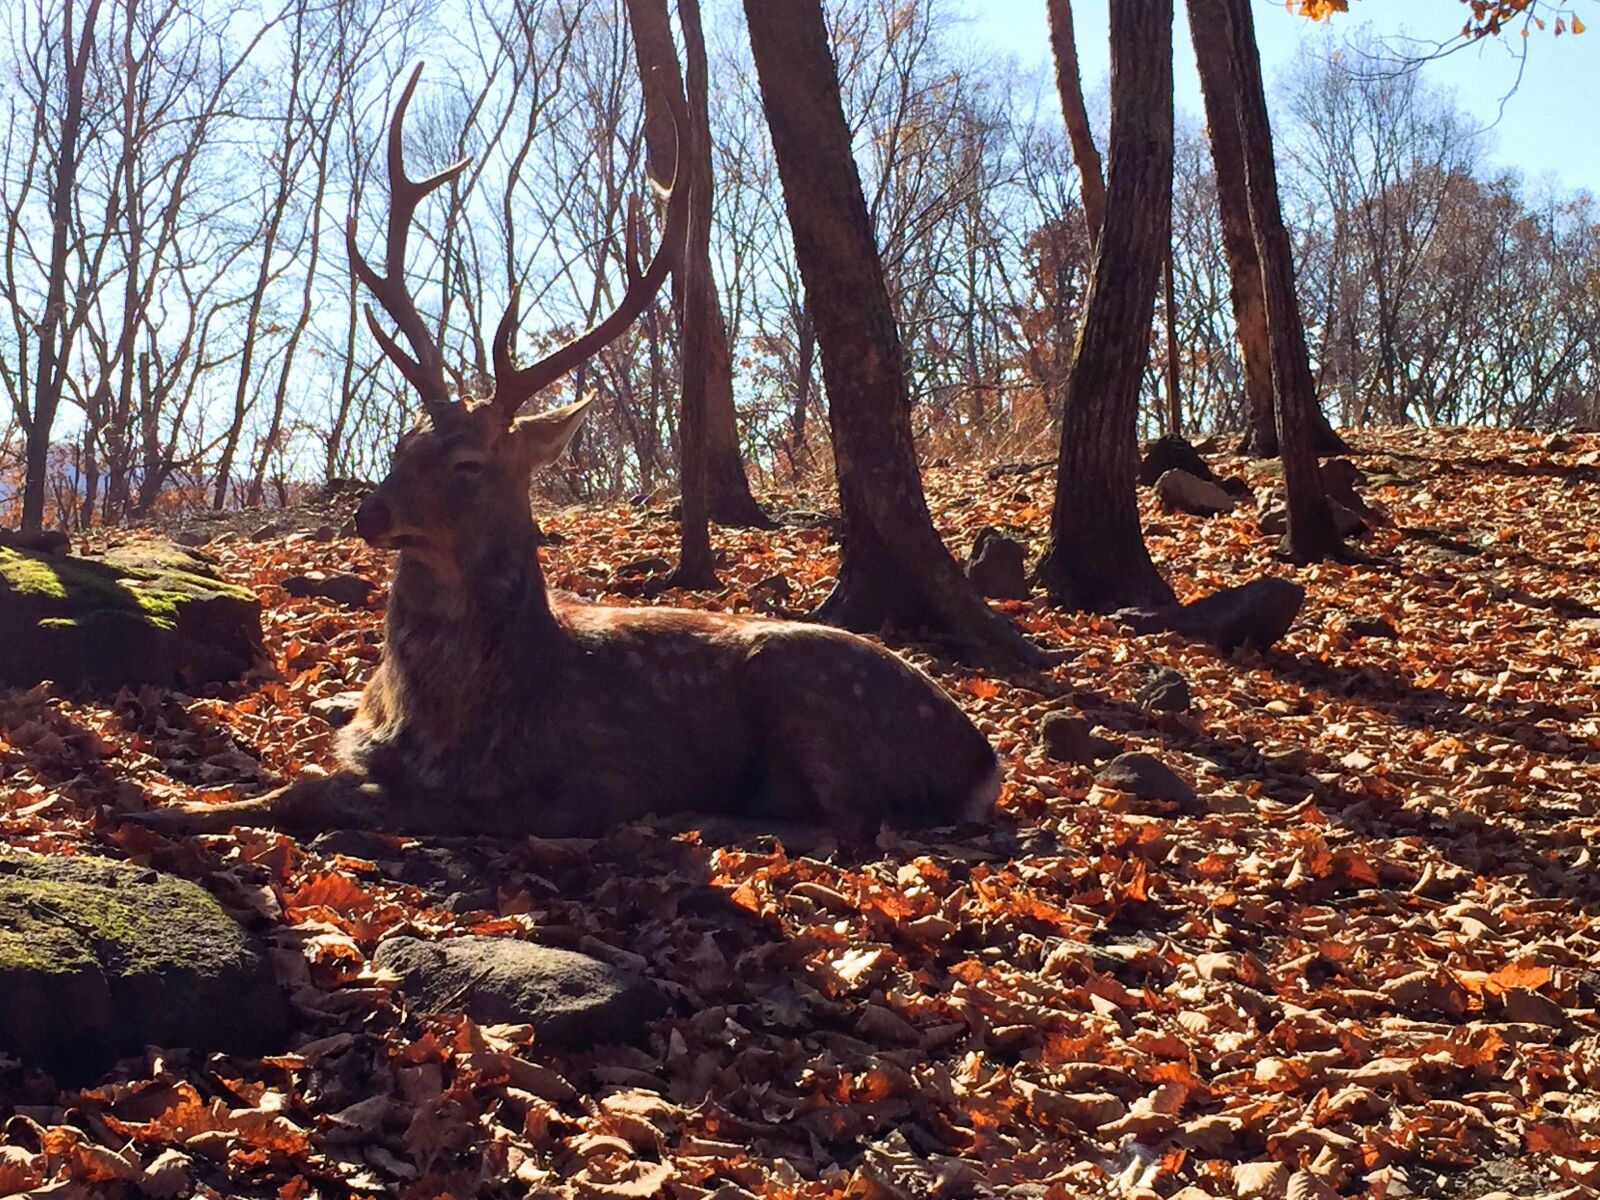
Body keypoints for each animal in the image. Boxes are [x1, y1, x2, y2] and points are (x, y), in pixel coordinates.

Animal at [129, 65, 1001, 842]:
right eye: (403, 442)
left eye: (470, 465)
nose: (369, 513)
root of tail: (985, 762)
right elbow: (306, 778)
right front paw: (164, 806)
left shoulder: (582, 781)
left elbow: (327, 791)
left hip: (809, 691)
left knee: (851, 825)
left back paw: (705, 819)